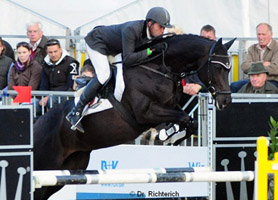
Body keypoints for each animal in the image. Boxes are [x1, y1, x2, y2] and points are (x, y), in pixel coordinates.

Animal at [33, 34, 236, 198]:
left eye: (229, 69)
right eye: (218, 68)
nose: (225, 101)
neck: (159, 69)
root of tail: (37, 125)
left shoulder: (170, 106)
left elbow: (189, 121)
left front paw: (170, 135)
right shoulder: (145, 113)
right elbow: (183, 118)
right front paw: (166, 135)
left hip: (71, 168)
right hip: (47, 165)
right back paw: (75, 117)